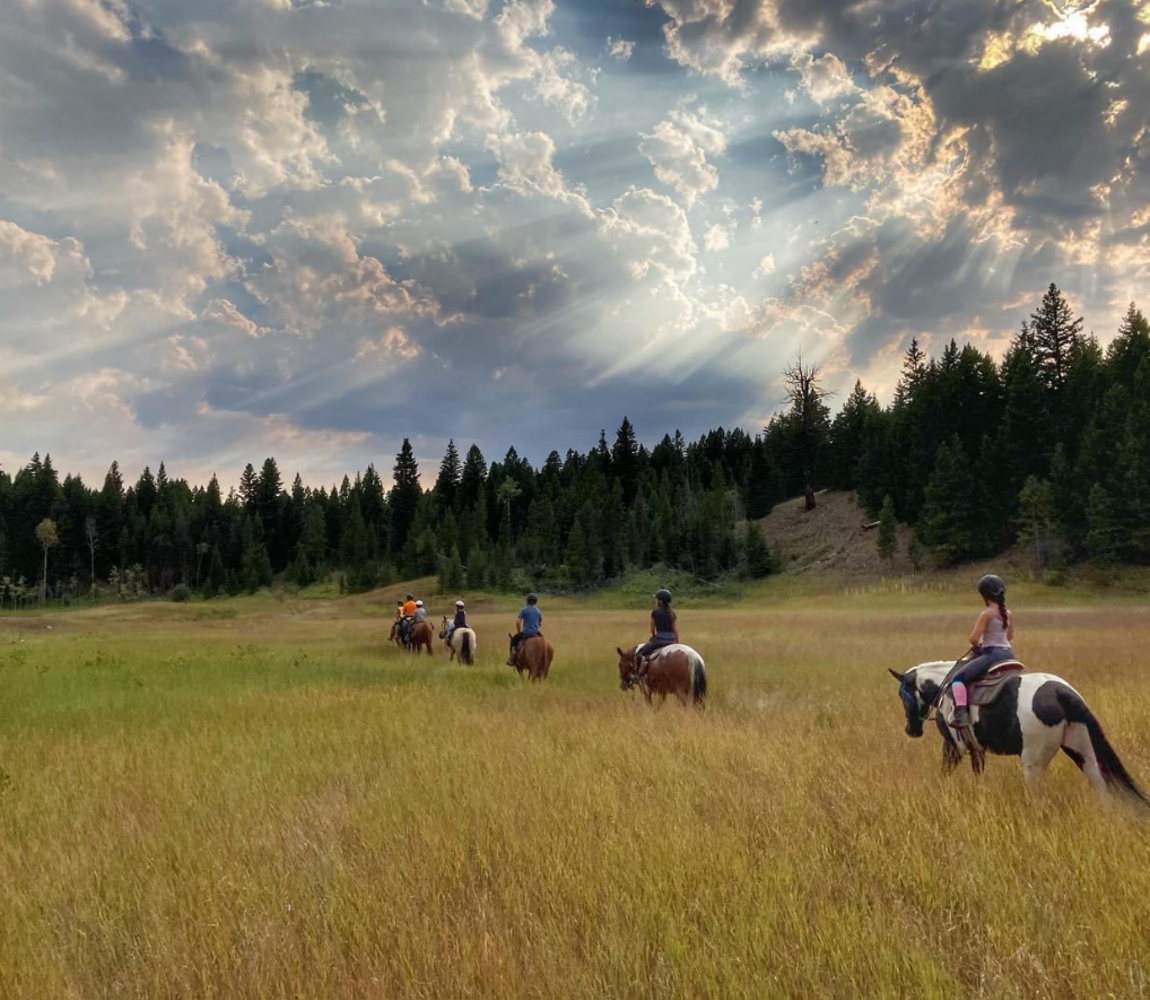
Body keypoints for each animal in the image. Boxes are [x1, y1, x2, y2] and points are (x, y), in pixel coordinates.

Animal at [892, 662, 1145, 809]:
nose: (911, 730)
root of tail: (1064, 692)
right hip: (1081, 750)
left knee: (1039, 796)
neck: (945, 687)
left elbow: (945, 771)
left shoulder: (953, 745)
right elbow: (978, 773)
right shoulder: (976, 748)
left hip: (1033, 762)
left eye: (902, 695)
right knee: (1100, 783)